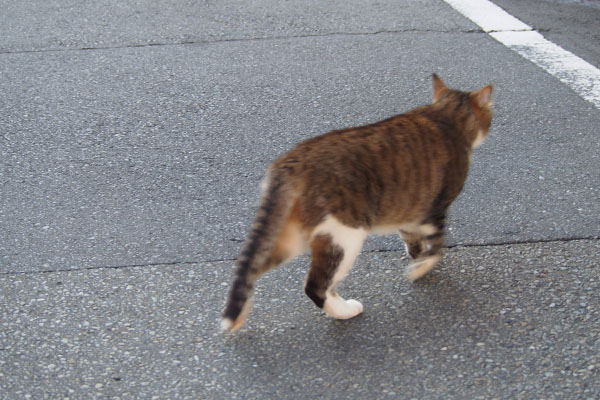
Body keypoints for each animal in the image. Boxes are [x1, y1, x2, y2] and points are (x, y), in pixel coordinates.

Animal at [220, 74, 492, 332]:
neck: (444, 114)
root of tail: (293, 159)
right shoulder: (435, 210)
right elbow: (437, 247)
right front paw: (421, 268)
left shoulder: (411, 211)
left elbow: (413, 239)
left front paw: (417, 257)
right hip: (344, 236)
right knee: (316, 286)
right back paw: (345, 311)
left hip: (291, 236)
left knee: (253, 268)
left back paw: (239, 317)